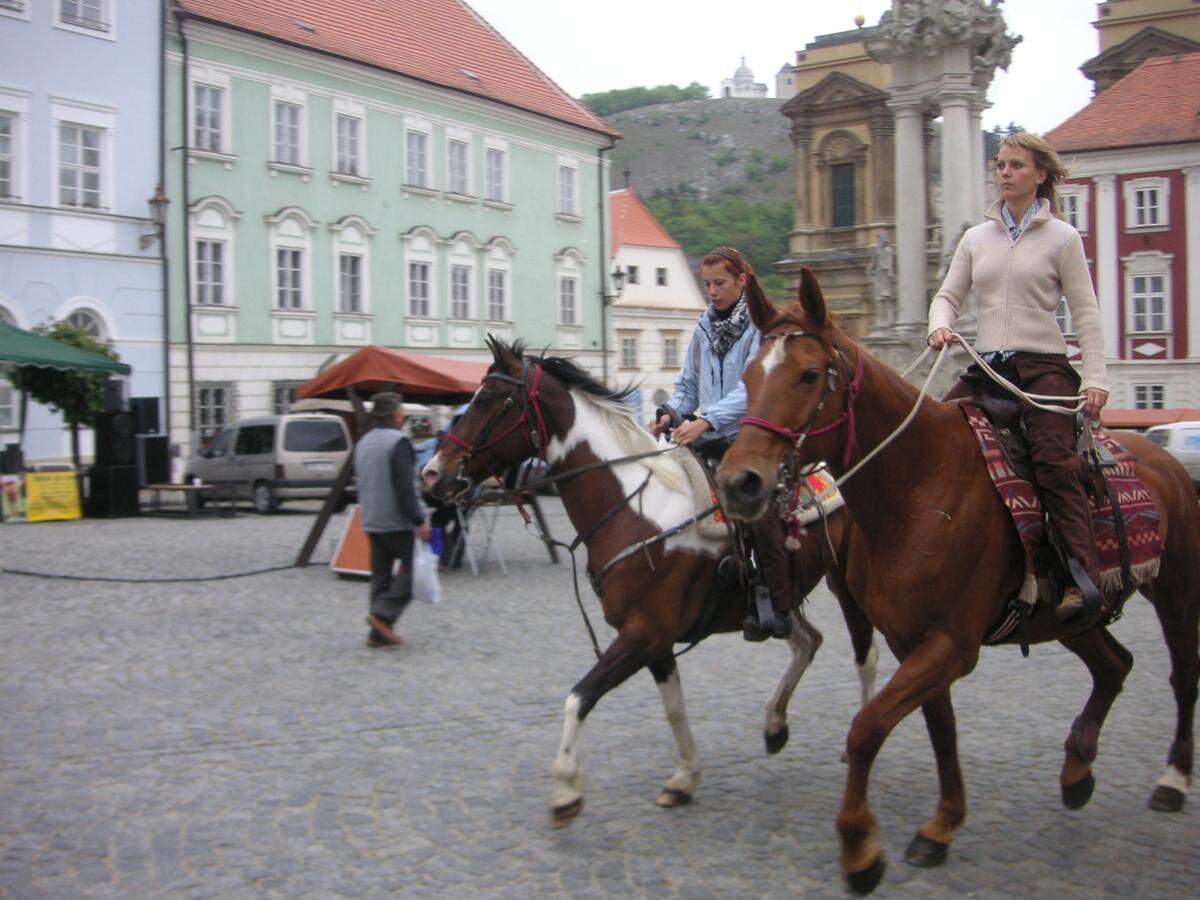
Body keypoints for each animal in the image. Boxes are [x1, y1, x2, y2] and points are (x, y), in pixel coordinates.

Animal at [427, 340, 878, 830]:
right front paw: (684, 777)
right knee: (808, 642)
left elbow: (578, 697)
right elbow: (673, 708)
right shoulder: (655, 640)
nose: (432, 474)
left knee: (865, 657)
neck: (632, 509)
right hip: (784, 600)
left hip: (849, 588)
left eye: (491, 400)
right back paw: (774, 724)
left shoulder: (643, 632)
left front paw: (565, 789)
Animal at [715, 267, 1195, 897]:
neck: (920, 487)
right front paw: (942, 825)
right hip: (1073, 617)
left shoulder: (950, 645)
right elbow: (940, 730)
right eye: (747, 376)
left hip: (1177, 594)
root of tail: (1162, 457)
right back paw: (1077, 767)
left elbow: (867, 727)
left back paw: (1172, 778)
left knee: (1181, 678)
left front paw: (860, 849)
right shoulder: (914, 642)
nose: (738, 483)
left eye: (809, 374)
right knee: (1115, 665)